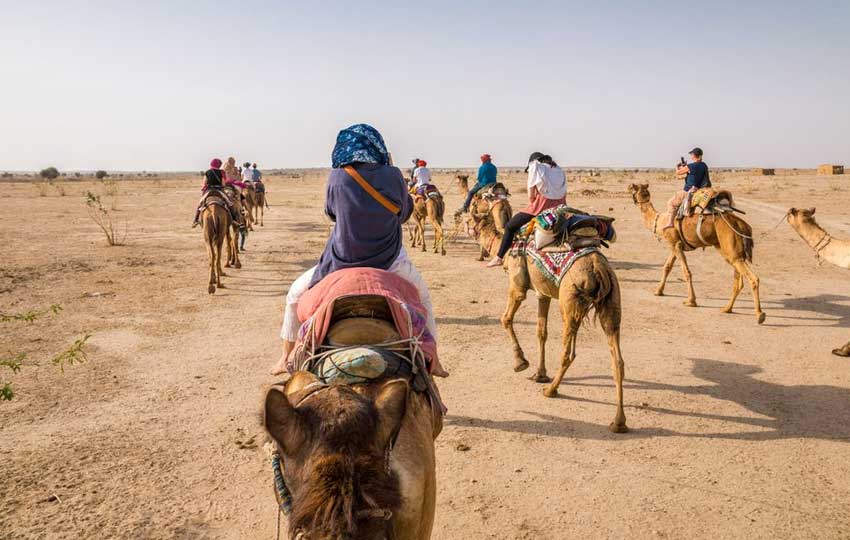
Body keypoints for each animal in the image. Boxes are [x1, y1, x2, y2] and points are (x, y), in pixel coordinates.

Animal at [474, 215, 628, 430]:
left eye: (472, 222)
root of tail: (598, 269)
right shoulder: (543, 294)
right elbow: (541, 333)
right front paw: (539, 374)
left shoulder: (517, 286)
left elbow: (505, 319)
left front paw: (521, 362)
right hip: (611, 301)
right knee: (617, 360)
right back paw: (618, 422)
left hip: (569, 301)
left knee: (568, 353)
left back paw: (551, 390)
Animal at [628, 184, 764, 322]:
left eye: (632, 189)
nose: (628, 189)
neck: (660, 220)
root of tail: (743, 225)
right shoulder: (675, 244)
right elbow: (667, 267)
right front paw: (658, 291)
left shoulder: (675, 244)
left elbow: (686, 272)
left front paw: (691, 301)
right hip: (733, 252)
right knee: (738, 281)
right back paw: (727, 309)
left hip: (731, 250)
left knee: (753, 279)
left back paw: (760, 315)